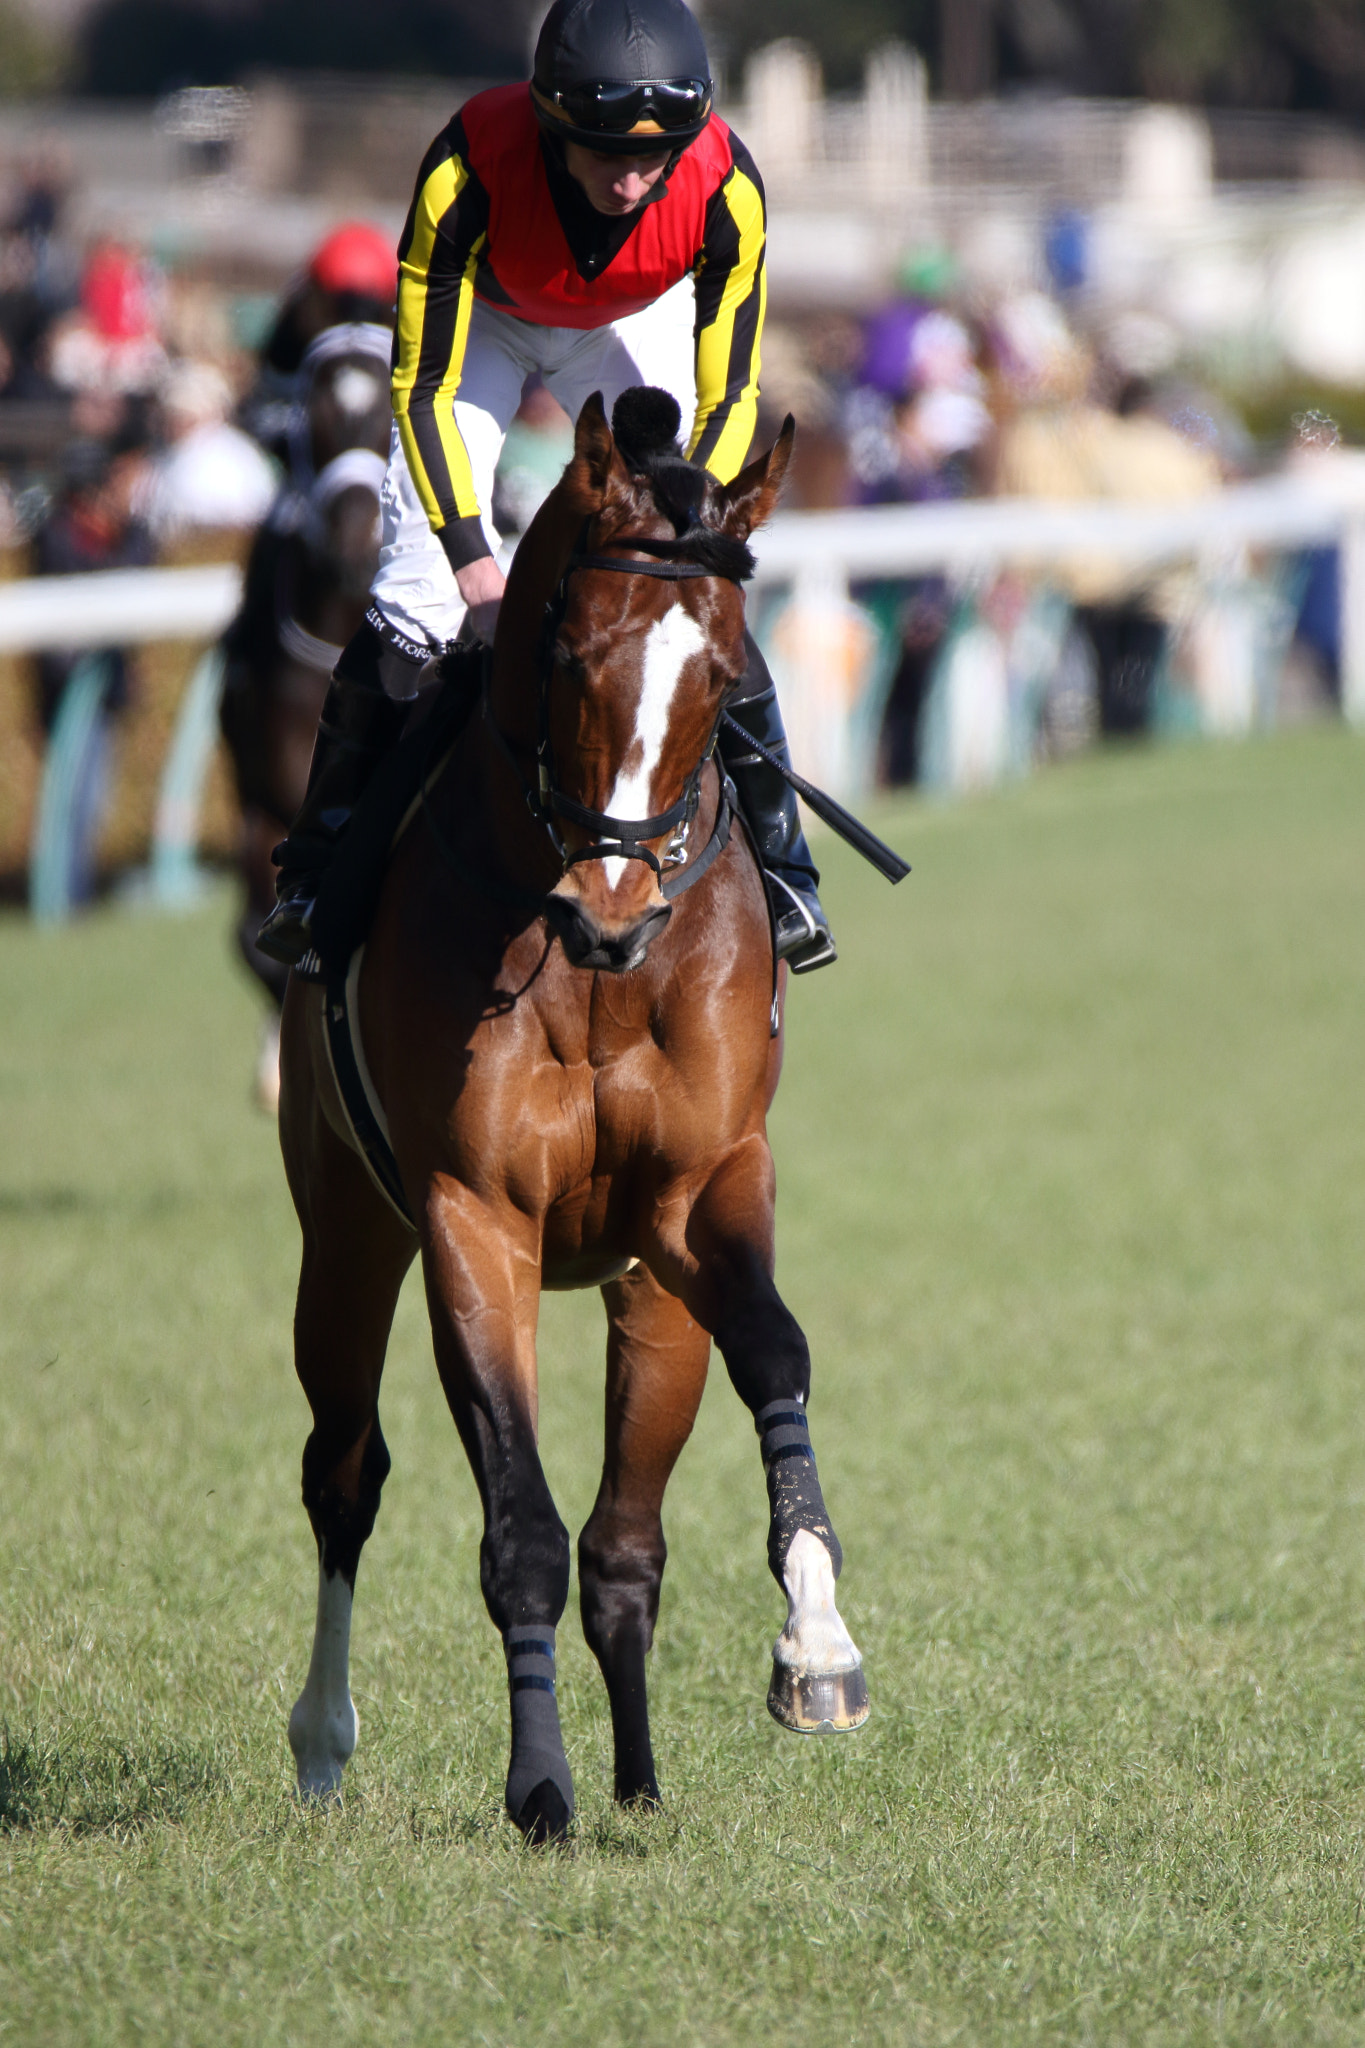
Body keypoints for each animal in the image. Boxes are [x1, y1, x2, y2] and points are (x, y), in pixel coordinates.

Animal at [278, 386, 869, 1843]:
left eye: (727, 676)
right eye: (572, 657)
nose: (612, 910)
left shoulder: (705, 1190)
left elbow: (773, 1355)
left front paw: (816, 1645)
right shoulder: (472, 1219)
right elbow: (518, 1528)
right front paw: (539, 1785)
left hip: (643, 1288)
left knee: (626, 1539)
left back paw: (641, 1776)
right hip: (344, 1225)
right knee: (344, 1468)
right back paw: (322, 1741)